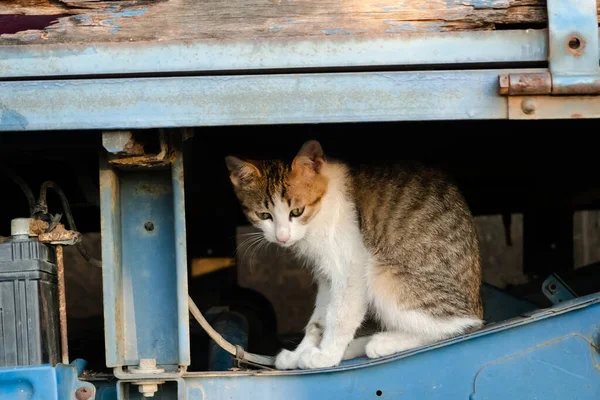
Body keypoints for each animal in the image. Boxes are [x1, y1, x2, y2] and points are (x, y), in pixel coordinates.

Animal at [225, 140, 482, 368]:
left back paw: (382, 342)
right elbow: (318, 319)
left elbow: (339, 315)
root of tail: (477, 305)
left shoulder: (351, 267)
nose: (282, 237)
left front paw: (326, 356)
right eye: (264, 215)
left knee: (461, 327)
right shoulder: (325, 275)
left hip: (381, 271)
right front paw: (301, 353)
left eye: (296, 211)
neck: (320, 209)